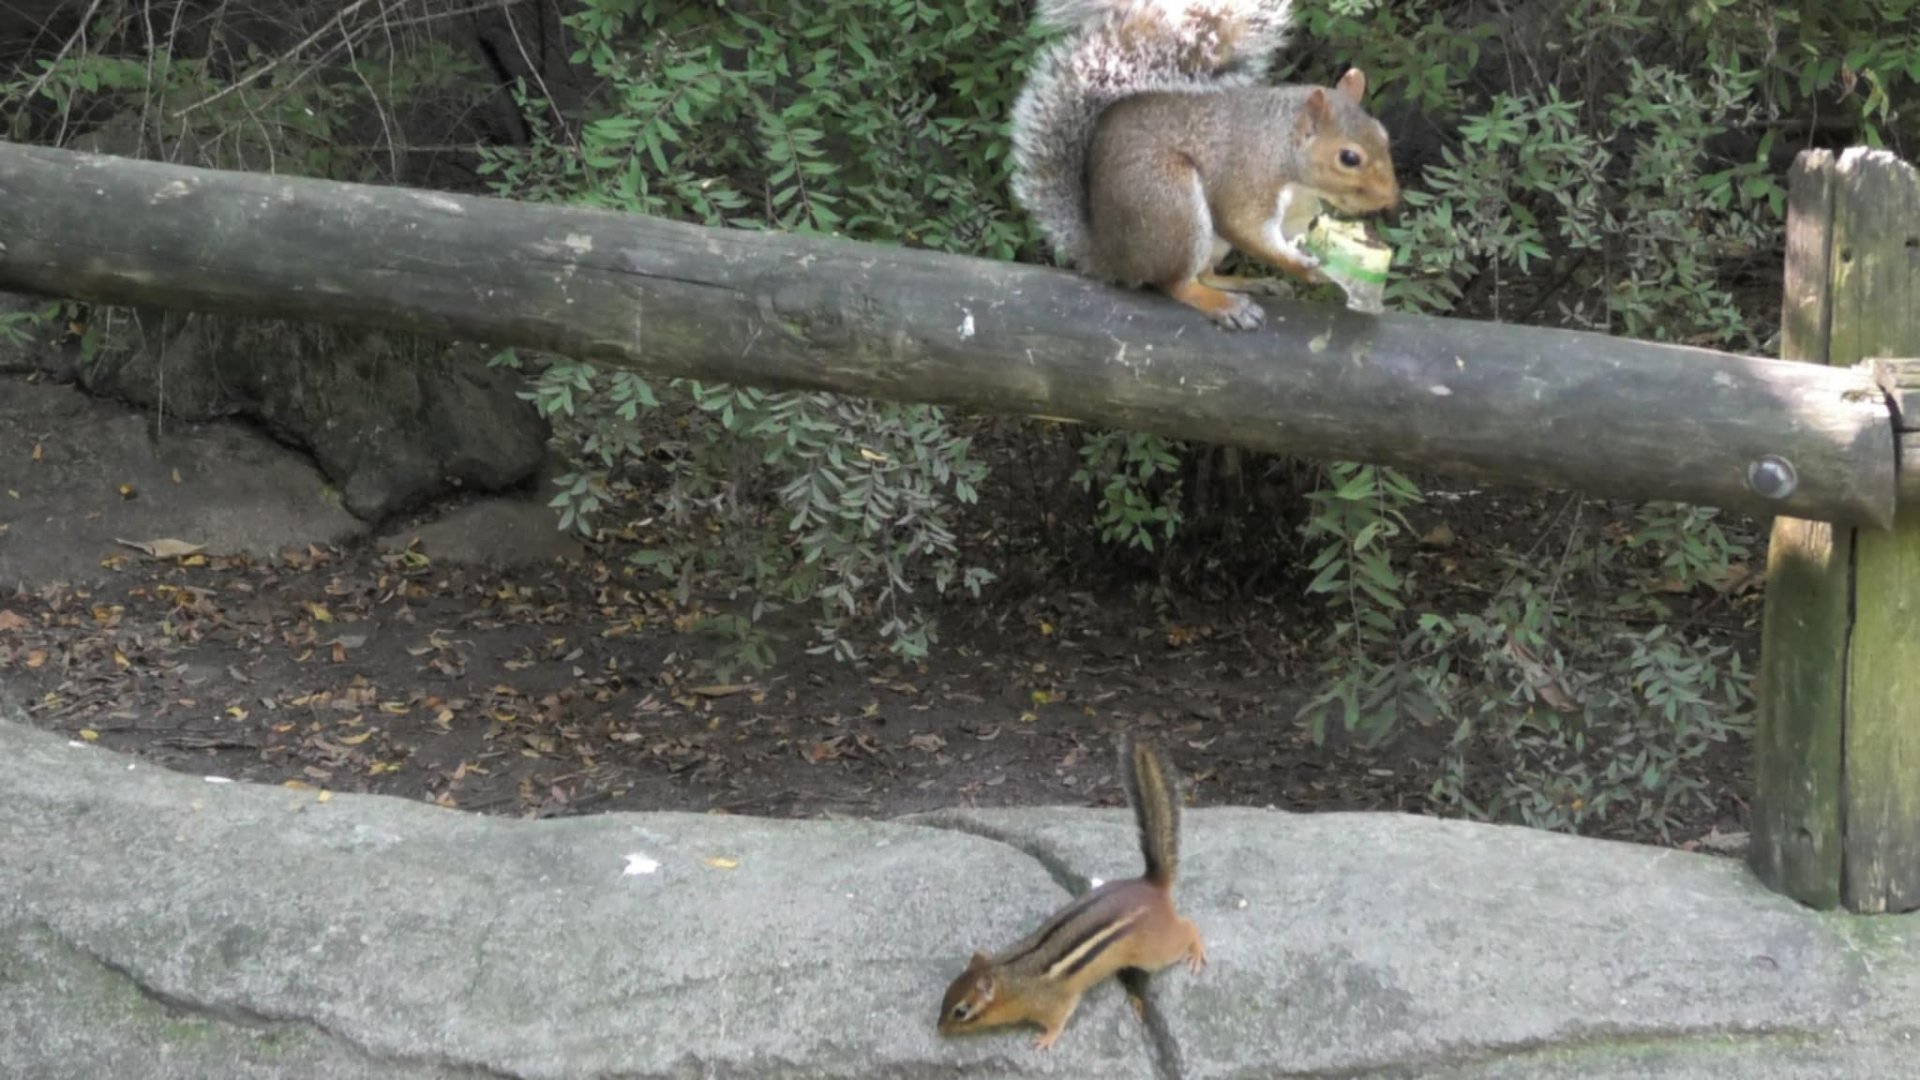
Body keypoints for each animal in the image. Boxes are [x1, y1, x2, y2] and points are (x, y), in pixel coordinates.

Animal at [937, 735, 1206, 1050]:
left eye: (961, 1011)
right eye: (947, 993)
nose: (939, 1028)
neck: (1012, 975)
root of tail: (1150, 883)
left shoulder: (1053, 1002)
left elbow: (1059, 1019)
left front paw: (1045, 1039)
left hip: (1154, 952)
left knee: (1187, 927)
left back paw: (1196, 951)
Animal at [1008, 0, 1401, 329]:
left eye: (1383, 134)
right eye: (1349, 158)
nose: (1391, 199)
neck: (1284, 153)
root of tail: (1112, 258)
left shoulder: (1295, 211)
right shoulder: (1248, 178)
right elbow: (1245, 227)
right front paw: (1303, 267)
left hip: (1207, 239)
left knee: (1206, 273)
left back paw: (1249, 283)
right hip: (1171, 203)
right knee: (1175, 283)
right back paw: (1222, 304)